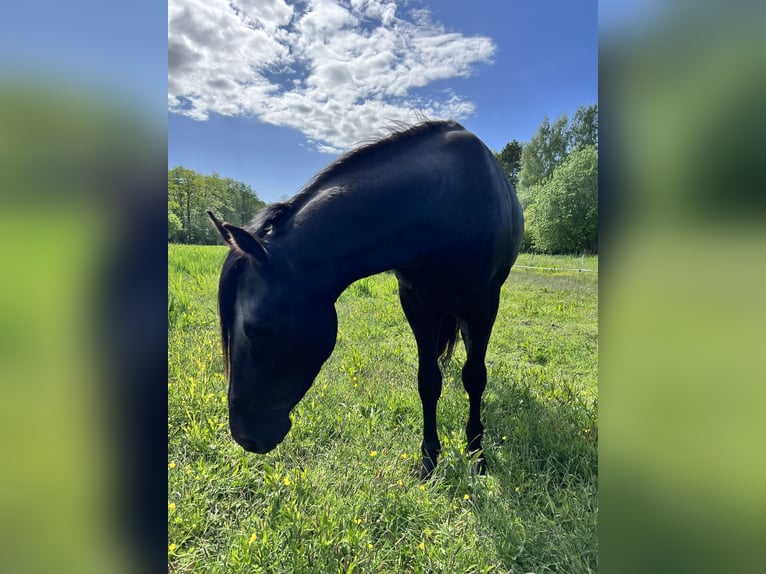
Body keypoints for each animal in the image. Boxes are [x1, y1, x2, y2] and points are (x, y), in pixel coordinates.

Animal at [207, 120, 524, 476]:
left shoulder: (484, 303)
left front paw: (476, 455)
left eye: (256, 327)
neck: (444, 206)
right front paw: (429, 459)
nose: (244, 435)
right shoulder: (418, 305)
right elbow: (428, 382)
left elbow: (475, 378)